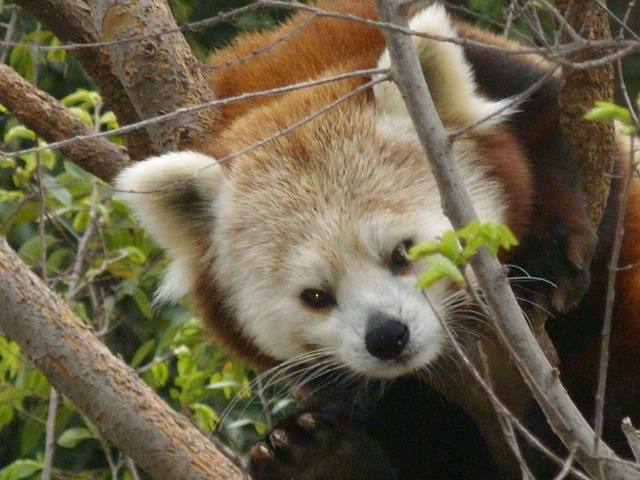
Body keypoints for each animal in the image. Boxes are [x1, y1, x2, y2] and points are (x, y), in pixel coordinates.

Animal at [116, 1, 640, 478]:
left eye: (402, 253)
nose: (387, 337)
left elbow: (555, 139)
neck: (293, 76)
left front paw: (550, 260)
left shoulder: (500, 71)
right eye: (315, 296)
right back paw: (321, 459)